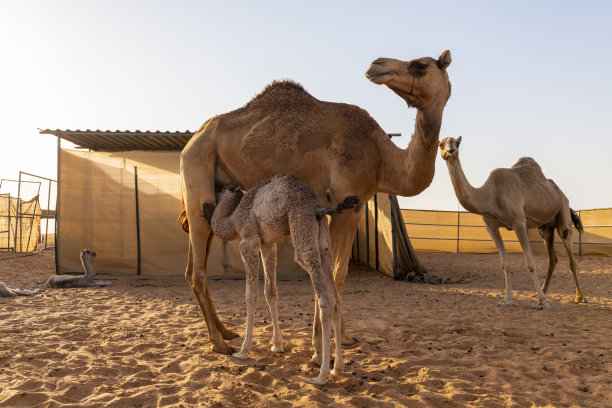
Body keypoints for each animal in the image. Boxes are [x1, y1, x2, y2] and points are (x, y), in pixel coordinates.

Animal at [179, 49, 452, 356]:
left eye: (420, 65)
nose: (376, 65)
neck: (381, 157)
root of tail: (190, 143)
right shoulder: (339, 201)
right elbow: (329, 270)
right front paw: (318, 345)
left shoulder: (356, 206)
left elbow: (341, 272)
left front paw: (343, 338)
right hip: (197, 174)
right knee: (198, 271)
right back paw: (219, 342)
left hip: (212, 199)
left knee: (193, 267)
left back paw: (226, 332)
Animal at [210, 174, 358, 384]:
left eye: (222, 189)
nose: (213, 194)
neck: (234, 217)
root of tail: (317, 208)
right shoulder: (268, 244)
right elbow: (271, 292)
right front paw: (277, 345)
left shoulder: (249, 240)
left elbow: (251, 296)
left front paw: (243, 351)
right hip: (323, 242)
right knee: (336, 298)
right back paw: (337, 368)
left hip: (301, 231)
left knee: (326, 300)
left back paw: (321, 376)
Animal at [440, 135, 584, 308]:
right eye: (441, 144)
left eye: (457, 142)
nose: (451, 150)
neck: (489, 195)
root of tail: (561, 193)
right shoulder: (491, 227)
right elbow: (505, 264)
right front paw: (507, 300)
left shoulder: (519, 222)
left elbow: (530, 263)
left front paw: (542, 303)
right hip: (545, 227)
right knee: (552, 259)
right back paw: (543, 292)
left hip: (563, 211)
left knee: (570, 255)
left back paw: (579, 297)